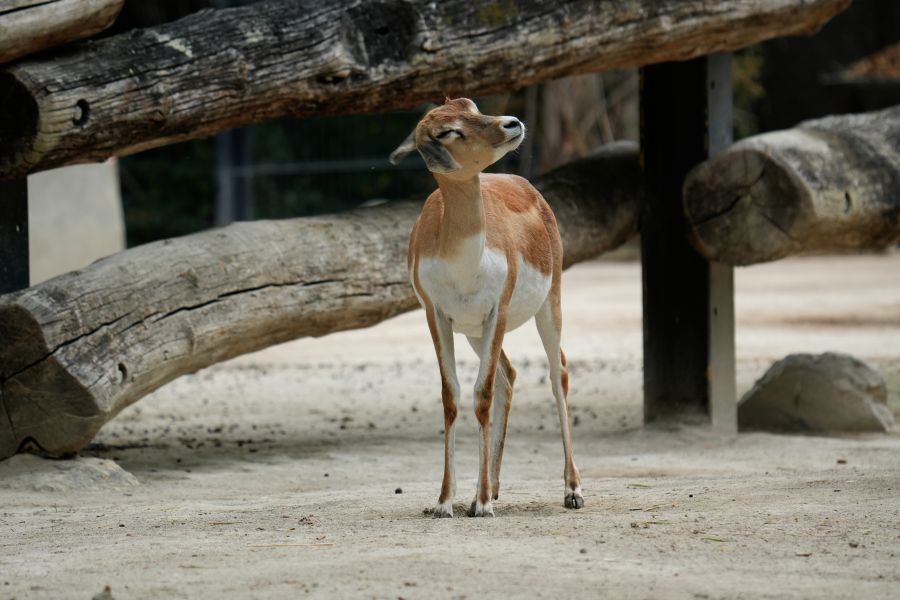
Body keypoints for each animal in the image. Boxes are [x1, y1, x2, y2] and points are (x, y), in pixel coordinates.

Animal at [390, 98, 583, 518]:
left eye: (472, 105)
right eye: (447, 131)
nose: (512, 123)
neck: (462, 259)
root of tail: (524, 184)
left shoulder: (499, 310)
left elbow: (481, 395)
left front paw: (478, 503)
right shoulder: (438, 317)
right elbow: (452, 396)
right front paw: (447, 501)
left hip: (550, 303)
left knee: (557, 372)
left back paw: (572, 490)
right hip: (474, 332)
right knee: (508, 376)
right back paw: (491, 488)